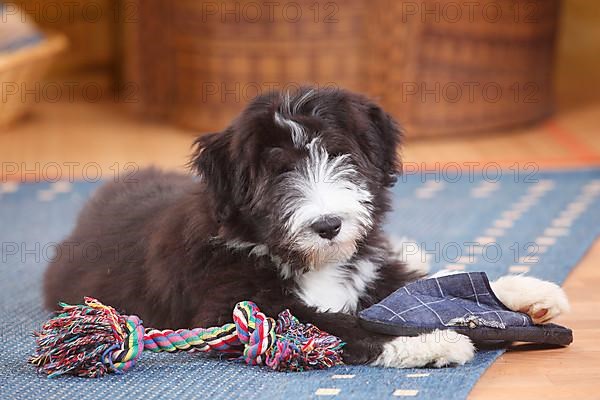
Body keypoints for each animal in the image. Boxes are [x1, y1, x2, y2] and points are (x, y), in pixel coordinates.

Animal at [44, 87, 568, 368]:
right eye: (278, 172)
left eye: (339, 155)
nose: (329, 225)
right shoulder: (230, 305)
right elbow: (334, 322)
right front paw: (428, 340)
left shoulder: (368, 270)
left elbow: (416, 286)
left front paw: (525, 292)